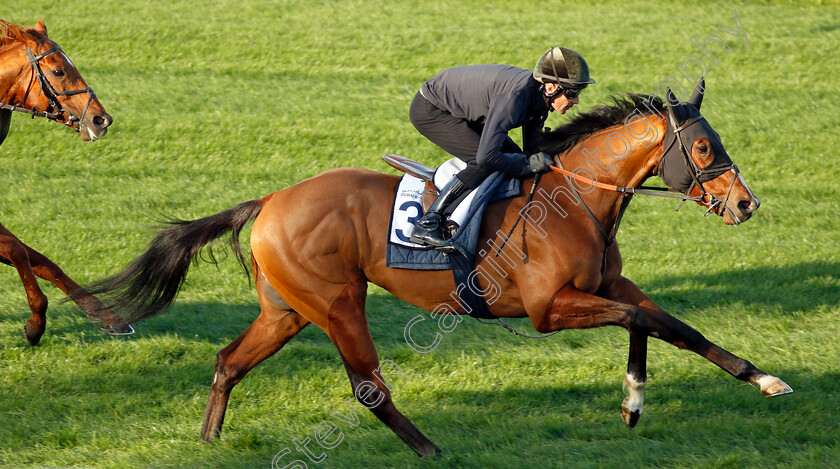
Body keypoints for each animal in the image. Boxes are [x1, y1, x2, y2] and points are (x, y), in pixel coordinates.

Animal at [0, 19, 132, 344]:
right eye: (59, 71)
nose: (101, 119)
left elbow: (39, 258)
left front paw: (109, 316)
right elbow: (17, 250)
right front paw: (36, 323)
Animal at [92, 82, 796, 456]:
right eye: (701, 147)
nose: (746, 203)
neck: (576, 199)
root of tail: (269, 201)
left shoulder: (605, 283)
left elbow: (673, 325)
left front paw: (762, 379)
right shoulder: (549, 310)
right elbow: (639, 321)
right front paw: (632, 400)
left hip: (287, 311)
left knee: (229, 362)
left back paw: (210, 441)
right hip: (337, 303)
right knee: (367, 386)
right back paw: (429, 448)